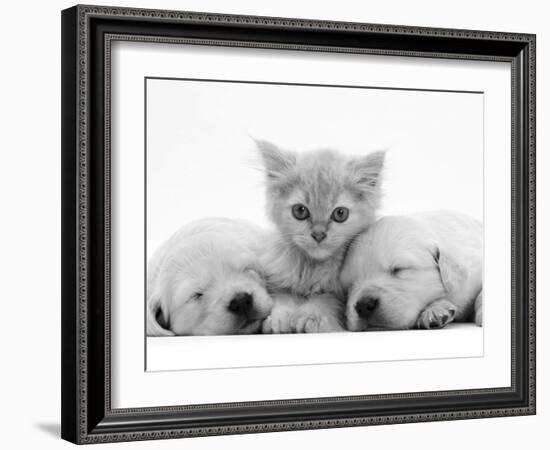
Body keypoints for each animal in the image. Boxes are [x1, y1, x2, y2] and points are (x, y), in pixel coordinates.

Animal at [256, 141, 386, 334]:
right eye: (300, 211)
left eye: (340, 213)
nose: (318, 234)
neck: (313, 267)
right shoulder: (278, 283)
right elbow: (284, 299)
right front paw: (279, 319)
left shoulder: (339, 295)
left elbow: (324, 301)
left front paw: (310, 317)